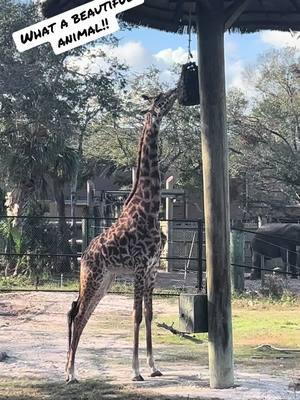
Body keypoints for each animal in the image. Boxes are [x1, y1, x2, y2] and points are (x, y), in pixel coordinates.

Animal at [66, 89, 177, 382]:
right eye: (161, 98)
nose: (176, 90)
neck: (150, 207)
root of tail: (84, 255)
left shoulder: (152, 269)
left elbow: (149, 314)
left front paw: (153, 366)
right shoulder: (139, 267)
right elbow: (136, 315)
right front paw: (136, 371)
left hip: (105, 280)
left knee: (78, 313)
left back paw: (68, 370)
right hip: (94, 277)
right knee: (78, 315)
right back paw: (71, 373)